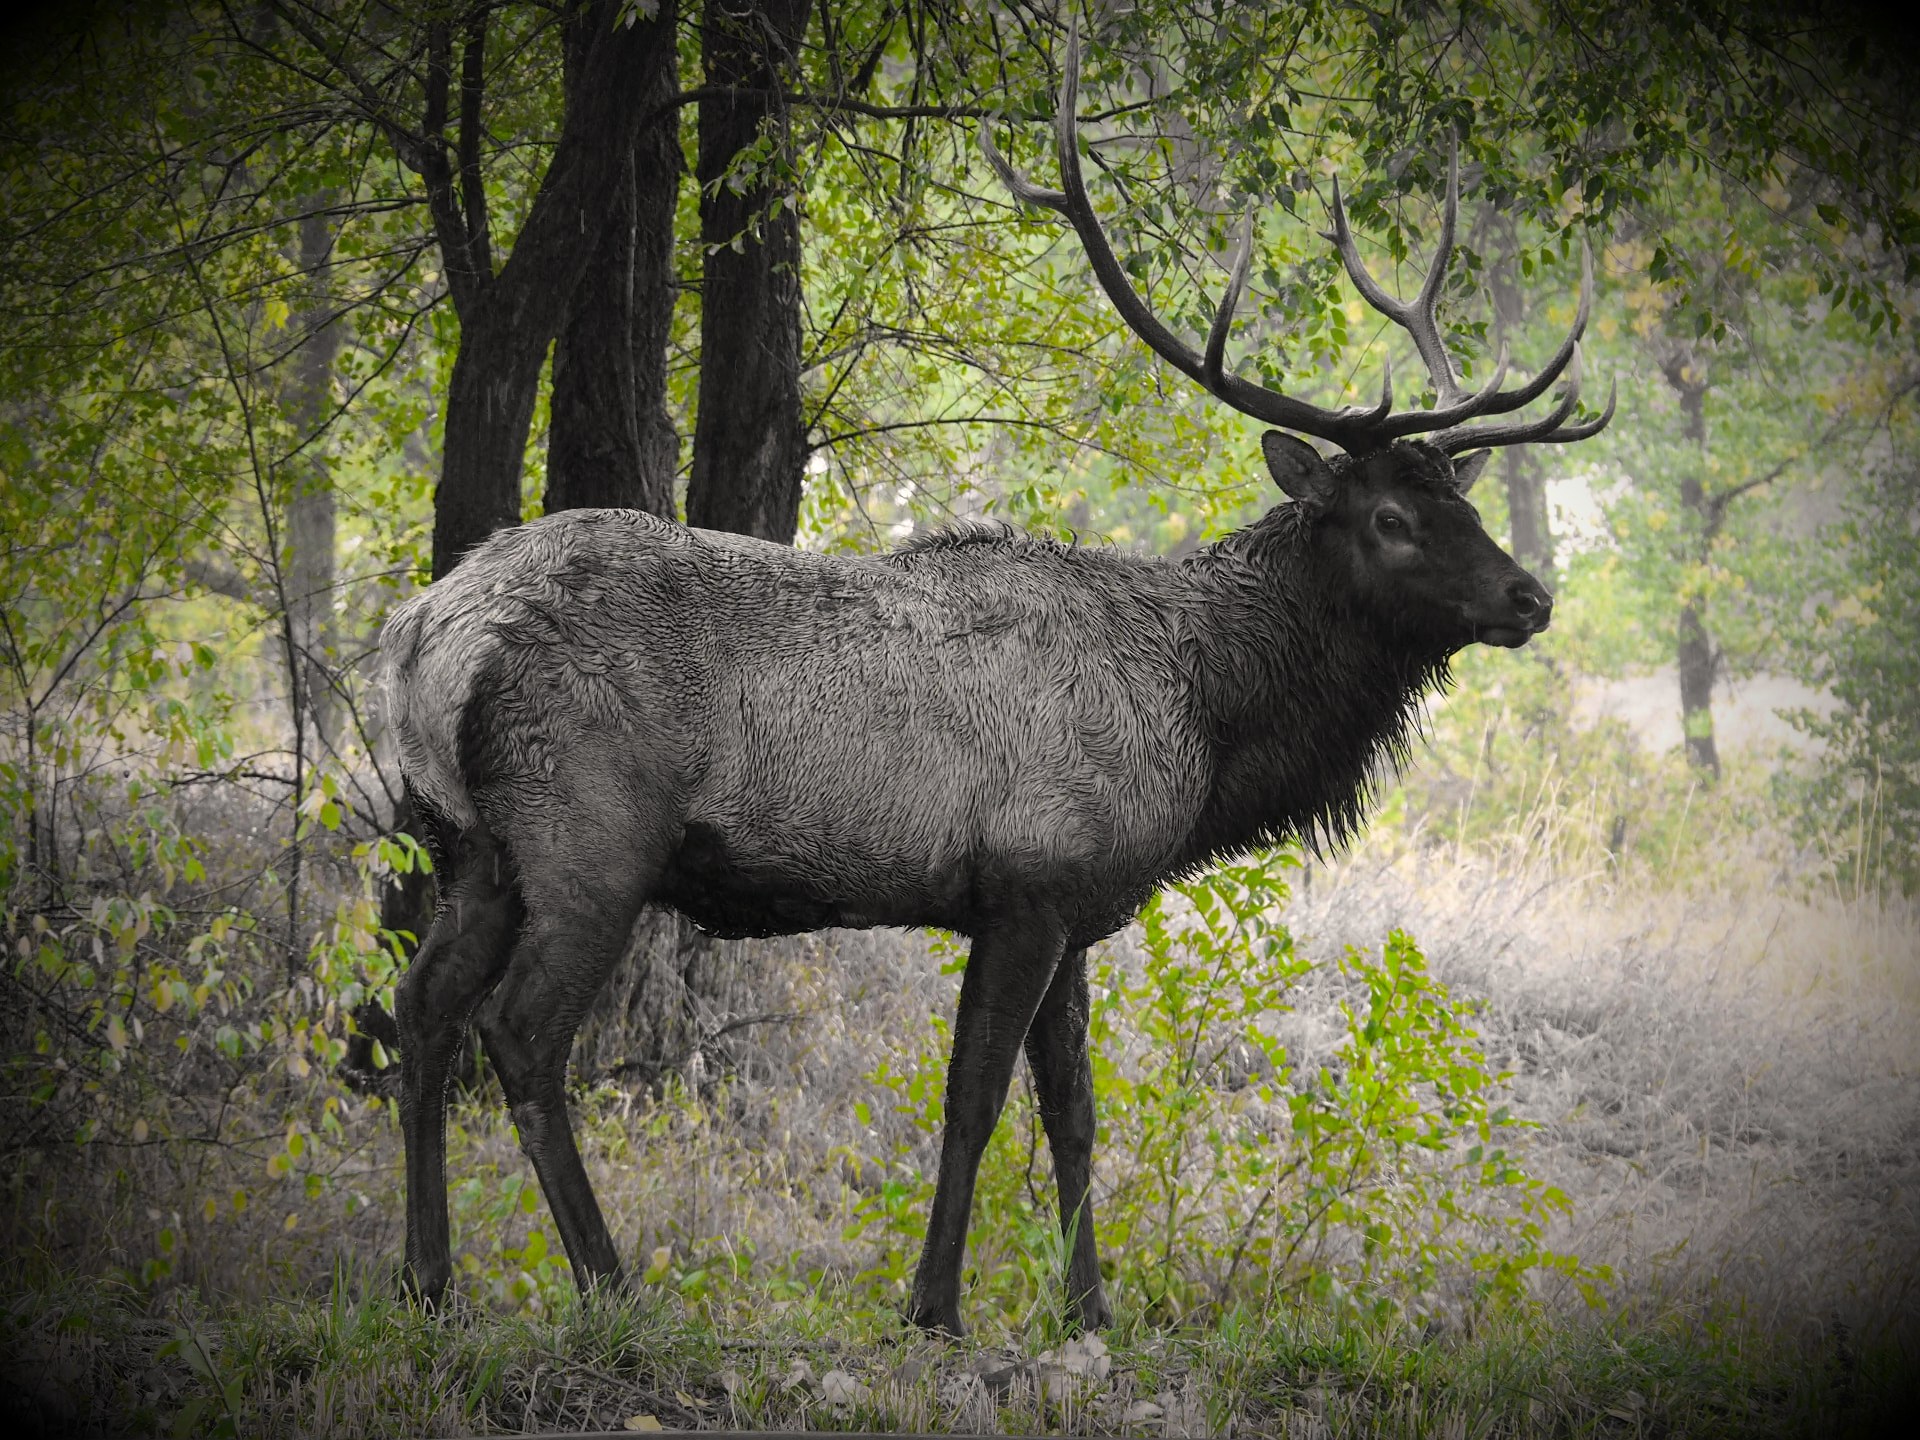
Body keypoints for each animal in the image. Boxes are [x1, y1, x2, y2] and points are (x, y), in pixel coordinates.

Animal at [379, 21, 1613, 1337]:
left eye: (1461, 501)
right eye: (1390, 516)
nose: (1530, 598)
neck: (1208, 725)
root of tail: (422, 638)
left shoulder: (1077, 907)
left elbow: (1074, 1110)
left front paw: (1091, 1309)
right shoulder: (1025, 882)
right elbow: (972, 1100)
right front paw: (934, 1305)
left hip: (474, 848)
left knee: (421, 1008)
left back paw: (427, 1281)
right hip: (589, 839)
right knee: (517, 1032)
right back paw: (607, 1282)